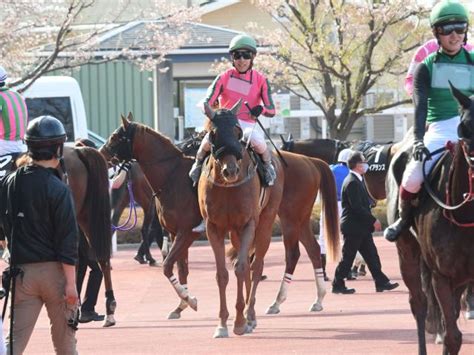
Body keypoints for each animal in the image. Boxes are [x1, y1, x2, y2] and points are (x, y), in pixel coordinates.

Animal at [100, 112, 338, 336]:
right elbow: (181, 269)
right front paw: (182, 304)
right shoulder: (177, 232)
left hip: (286, 220)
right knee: (311, 250)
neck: (172, 176)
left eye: (115, 137)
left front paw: (190, 300)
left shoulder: (187, 232)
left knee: (285, 257)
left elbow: (168, 265)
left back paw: (270, 305)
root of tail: (309, 161)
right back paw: (314, 299)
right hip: (298, 220)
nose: (101, 154)